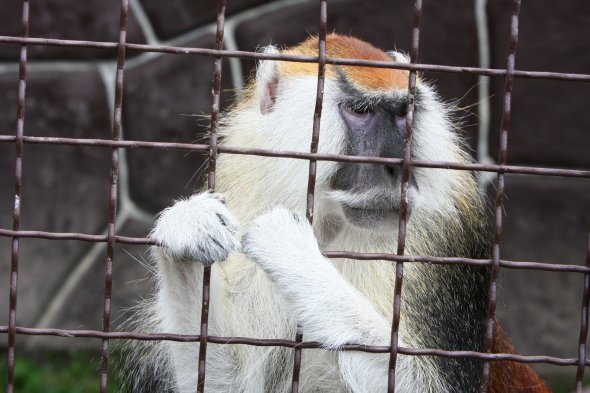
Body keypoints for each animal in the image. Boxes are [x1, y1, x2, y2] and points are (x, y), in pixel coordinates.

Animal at [126, 34, 556, 392]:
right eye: (360, 111)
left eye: (402, 114)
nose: (393, 167)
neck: (331, 221)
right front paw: (187, 228)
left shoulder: (434, 244)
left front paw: (295, 255)